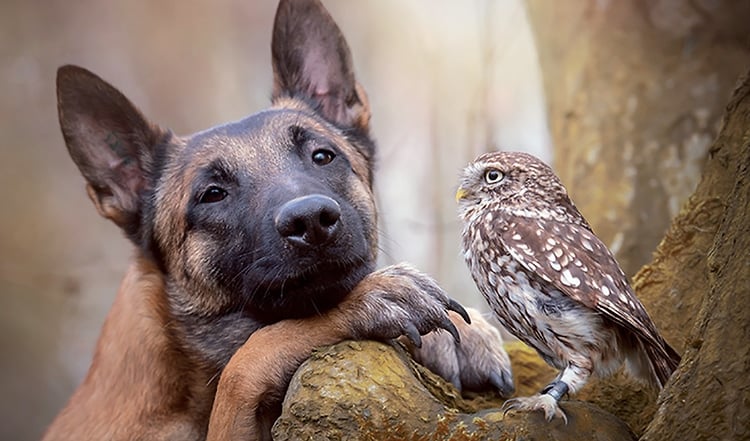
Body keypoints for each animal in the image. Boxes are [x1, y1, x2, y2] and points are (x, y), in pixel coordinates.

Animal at [44, 0, 516, 440]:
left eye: (322, 156)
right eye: (212, 194)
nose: (312, 220)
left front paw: (459, 334)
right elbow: (255, 353)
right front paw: (370, 299)